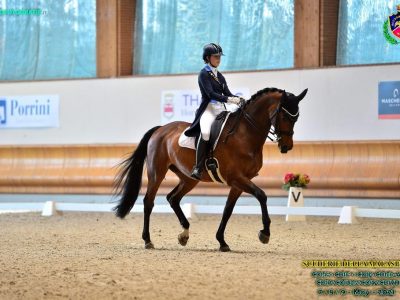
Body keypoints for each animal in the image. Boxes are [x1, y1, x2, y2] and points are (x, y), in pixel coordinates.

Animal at [114, 86, 308, 251]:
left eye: (296, 118)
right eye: (285, 116)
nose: (286, 147)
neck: (245, 134)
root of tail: (161, 129)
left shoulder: (239, 182)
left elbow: (228, 210)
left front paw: (222, 242)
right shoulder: (236, 177)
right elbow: (262, 195)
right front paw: (264, 233)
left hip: (189, 178)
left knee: (173, 198)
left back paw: (184, 234)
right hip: (157, 172)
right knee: (149, 201)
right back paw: (148, 240)